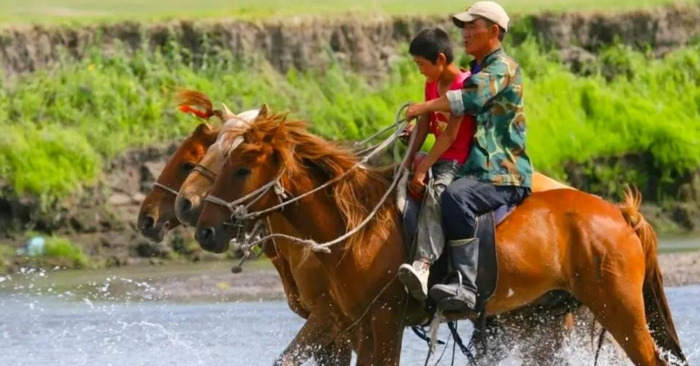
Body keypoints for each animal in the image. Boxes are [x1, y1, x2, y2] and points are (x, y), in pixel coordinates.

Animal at [196, 113, 684, 366]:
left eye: (241, 168)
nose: (205, 229)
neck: (354, 227)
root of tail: (619, 213)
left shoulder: (382, 320)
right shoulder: (353, 323)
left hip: (618, 308)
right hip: (546, 316)